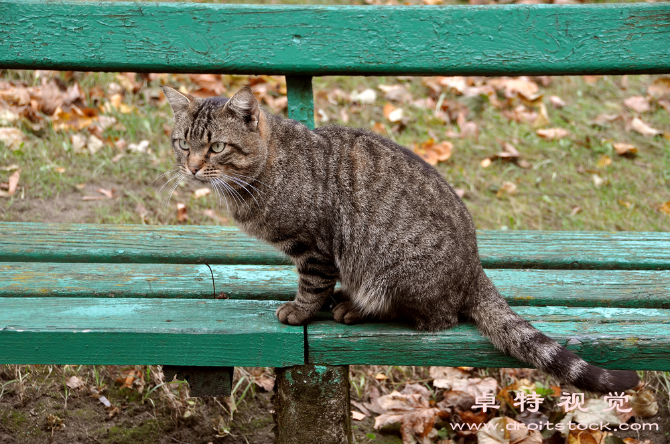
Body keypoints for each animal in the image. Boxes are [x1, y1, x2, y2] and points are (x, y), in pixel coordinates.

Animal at [161, 84, 640, 392]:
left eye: (217, 147)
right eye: (183, 144)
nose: (193, 167)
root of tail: (475, 267)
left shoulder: (314, 248)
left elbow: (312, 286)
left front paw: (300, 310)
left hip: (397, 270)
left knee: (434, 318)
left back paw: (355, 308)